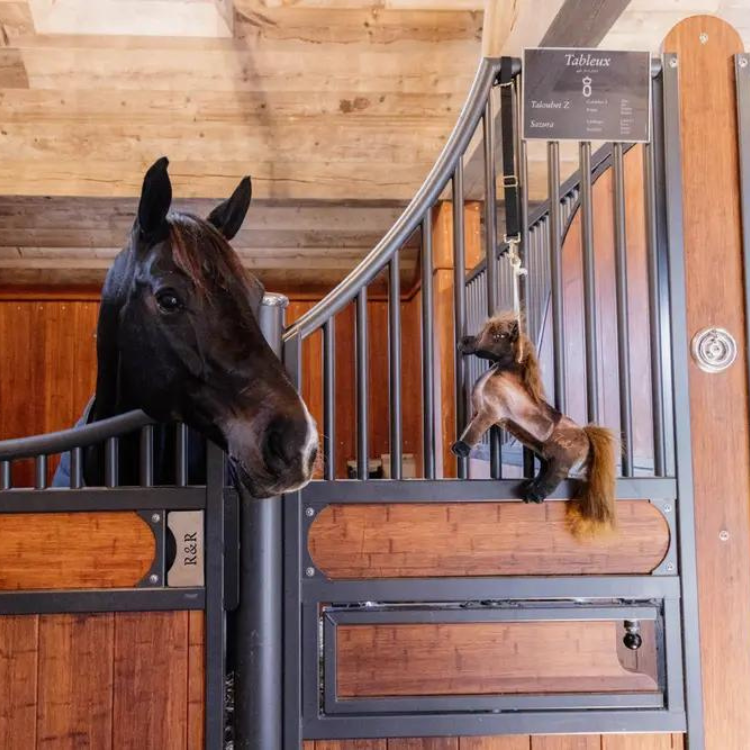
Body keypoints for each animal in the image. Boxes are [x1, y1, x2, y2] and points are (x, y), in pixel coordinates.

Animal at [451, 312, 617, 536]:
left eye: (497, 335)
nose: (463, 341)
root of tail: (587, 436)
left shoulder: (490, 412)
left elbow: (475, 430)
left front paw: (460, 449)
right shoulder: (479, 412)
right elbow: (469, 428)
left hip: (562, 461)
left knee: (555, 477)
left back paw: (534, 496)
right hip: (545, 455)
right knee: (544, 472)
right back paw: (530, 487)